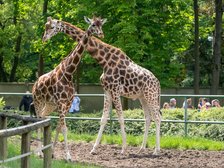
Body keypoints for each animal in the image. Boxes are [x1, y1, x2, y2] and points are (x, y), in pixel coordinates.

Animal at [32, 16, 107, 161]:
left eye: (101, 25)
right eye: (93, 25)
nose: (101, 34)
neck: (68, 72)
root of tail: (35, 84)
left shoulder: (67, 104)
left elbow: (59, 127)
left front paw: (53, 153)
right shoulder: (61, 103)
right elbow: (64, 128)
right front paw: (68, 156)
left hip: (49, 105)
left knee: (44, 118)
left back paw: (43, 150)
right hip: (38, 101)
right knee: (38, 120)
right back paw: (39, 152)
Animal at [42, 17, 161, 156]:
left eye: (51, 27)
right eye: (46, 26)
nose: (44, 38)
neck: (104, 60)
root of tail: (157, 83)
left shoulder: (115, 90)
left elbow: (121, 118)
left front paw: (123, 149)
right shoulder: (107, 90)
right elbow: (103, 119)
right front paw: (93, 149)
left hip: (151, 95)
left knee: (157, 117)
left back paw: (156, 150)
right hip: (143, 97)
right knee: (148, 118)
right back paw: (141, 149)